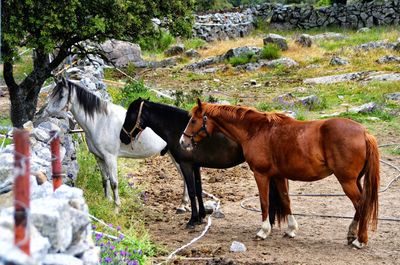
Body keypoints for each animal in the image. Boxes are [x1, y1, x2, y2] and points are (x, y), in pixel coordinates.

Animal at [45, 77, 189, 209]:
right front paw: (107, 200)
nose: (45, 111)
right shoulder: (99, 157)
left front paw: (116, 207)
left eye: (61, 95)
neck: (100, 122)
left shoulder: (110, 157)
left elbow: (114, 182)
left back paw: (183, 205)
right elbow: (105, 180)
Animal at [120, 98, 286, 228]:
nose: (123, 137)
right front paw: (201, 216)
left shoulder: (186, 165)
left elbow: (192, 191)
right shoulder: (196, 165)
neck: (176, 127)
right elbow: (199, 190)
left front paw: (192, 220)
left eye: (130, 114)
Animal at [180, 98, 380, 248]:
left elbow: (264, 202)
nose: (183, 141)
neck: (256, 130)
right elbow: (285, 200)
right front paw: (291, 230)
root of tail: (364, 132)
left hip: (346, 181)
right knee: (361, 205)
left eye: (193, 120)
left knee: (361, 205)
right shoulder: (278, 176)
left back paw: (360, 241)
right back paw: (352, 235)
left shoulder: (261, 175)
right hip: (355, 181)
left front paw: (263, 231)